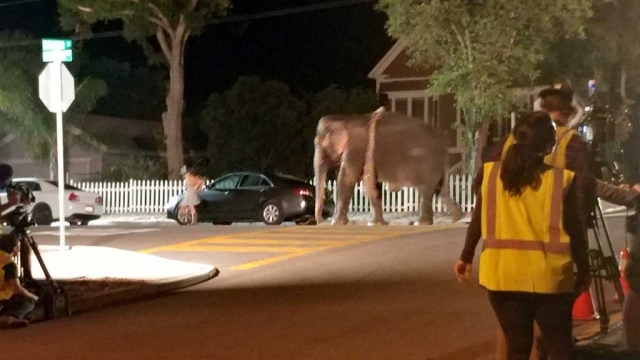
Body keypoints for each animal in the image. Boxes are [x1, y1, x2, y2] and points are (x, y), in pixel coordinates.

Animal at [314, 105, 460, 226]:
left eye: (317, 143)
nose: (320, 220)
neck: (346, 119)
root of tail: (443, 145)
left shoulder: (357, 148)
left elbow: (347, 178)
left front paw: (336, 223)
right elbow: (373, 184)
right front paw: (376, 224)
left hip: (427, 164)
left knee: (426, 190)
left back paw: (421, 223)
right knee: (441, 189)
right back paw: (457, 218)